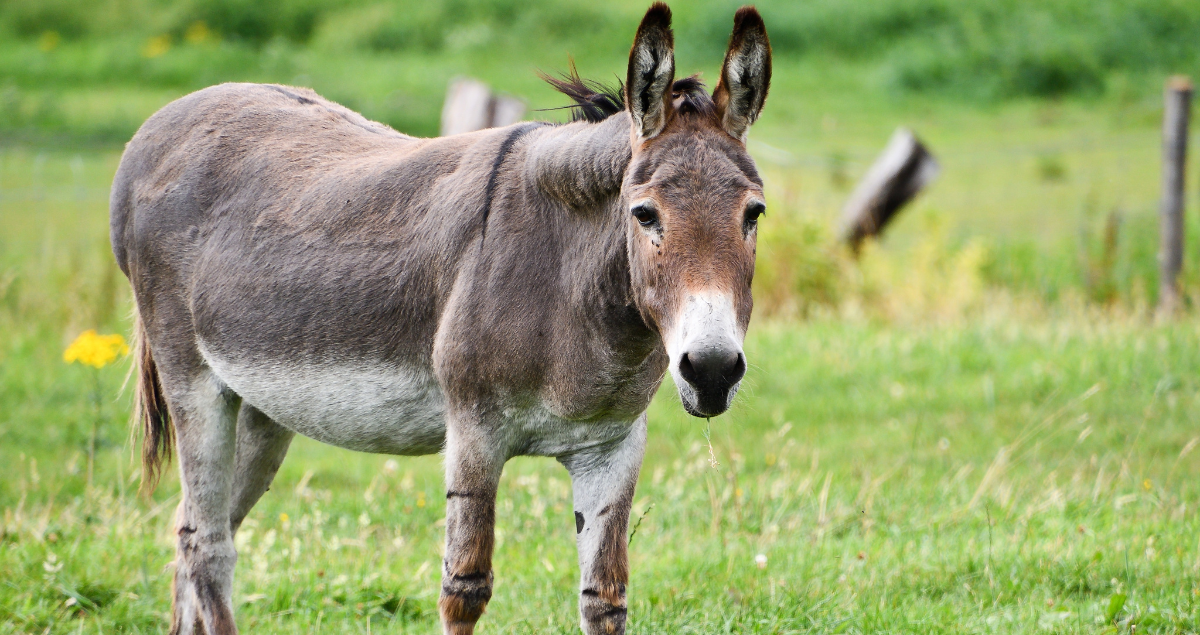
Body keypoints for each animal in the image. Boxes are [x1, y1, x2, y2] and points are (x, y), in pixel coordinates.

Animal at [110, 3, 770, 633]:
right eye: (645, 214)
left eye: (754, 214)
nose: (713, 371)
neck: (565, 278)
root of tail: (161, 123)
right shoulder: (473, 428)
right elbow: (464, 588)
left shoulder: (610, 445)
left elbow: (605, 599)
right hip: (192, 377)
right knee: (208, 545)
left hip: (260, 403)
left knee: (193, 528)